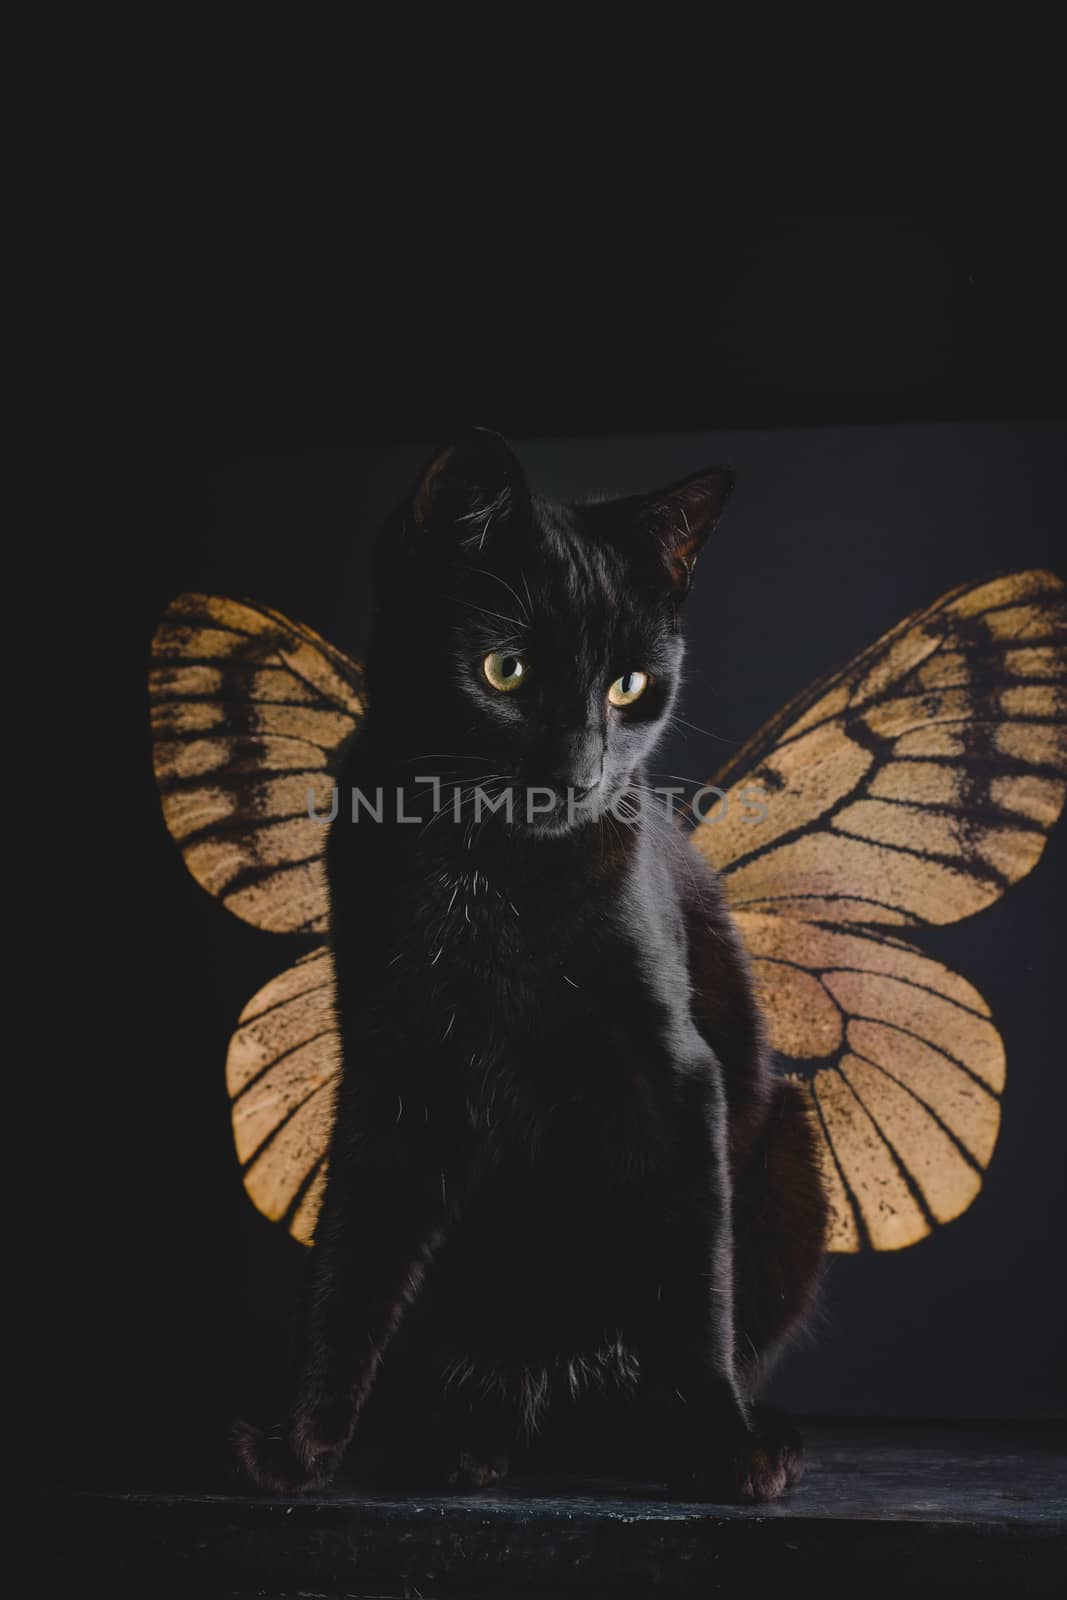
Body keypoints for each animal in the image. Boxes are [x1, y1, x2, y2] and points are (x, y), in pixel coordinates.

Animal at [233, 428, 825, 1497]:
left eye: (629, 687)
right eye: (504, 670)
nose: (580, 773)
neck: (486, 864)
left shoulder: (674, 1070)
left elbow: (693, 1286)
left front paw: (723, 1441)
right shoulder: (388, 1069)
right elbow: (348, 1261)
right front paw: (300, 1442)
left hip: (790, 1145)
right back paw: (471, 1442)